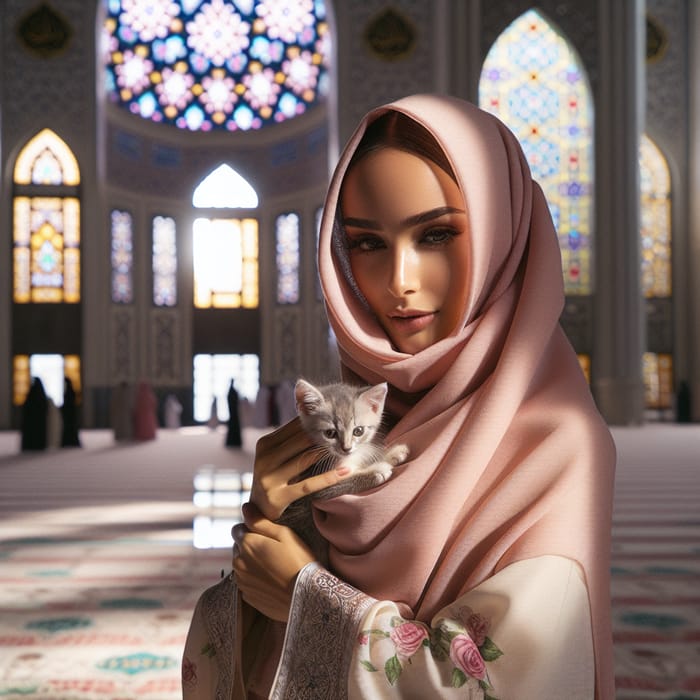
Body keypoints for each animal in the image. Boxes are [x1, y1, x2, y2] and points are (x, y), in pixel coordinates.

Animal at [278, 378, 410, 564]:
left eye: (358, 431)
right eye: (330, 433)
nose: (347, 448)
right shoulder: (314, 485)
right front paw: (376, 471)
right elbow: (347, 481)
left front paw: (393, 454)